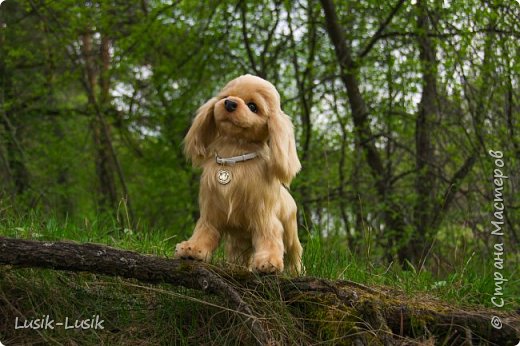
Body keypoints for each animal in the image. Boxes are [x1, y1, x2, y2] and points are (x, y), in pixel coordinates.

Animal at [175, 74, 302, 274]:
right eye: (226, 96)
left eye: (253, 106)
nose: (229, 103)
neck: (233, 153)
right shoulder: (211, 214)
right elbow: (204, 232)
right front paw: (193, 248)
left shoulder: (264, 217)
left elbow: (269, 238)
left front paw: (268, 261)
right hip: (239, 239)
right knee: (239, 253)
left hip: (290, 232)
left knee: (294, 252)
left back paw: (295, 271)